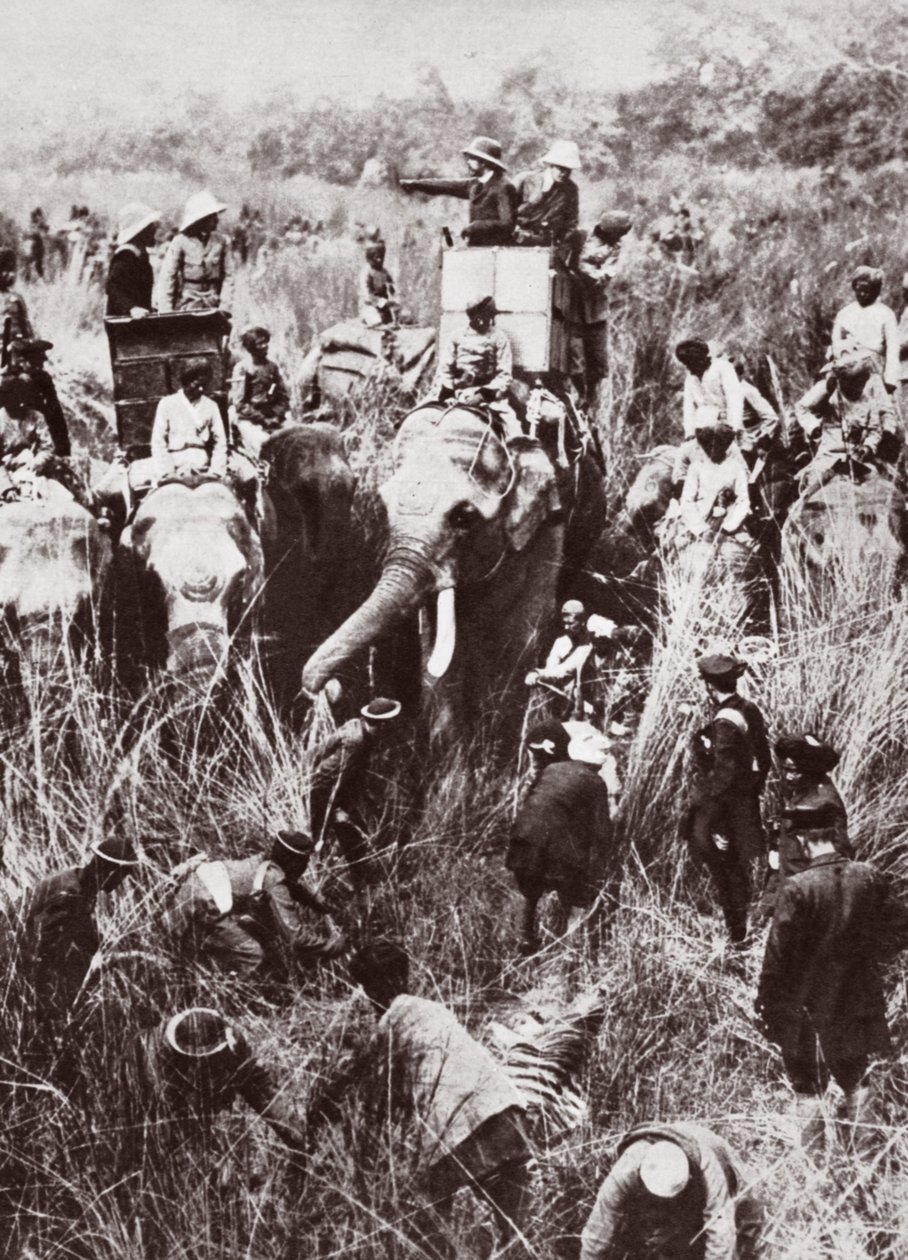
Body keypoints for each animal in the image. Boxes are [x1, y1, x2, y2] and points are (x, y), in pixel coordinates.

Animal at [300, 403, 604, 735]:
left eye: (463, 517)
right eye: (385, 506)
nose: (328, 690)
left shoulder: (545, 527)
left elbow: (521, 633)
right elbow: (438, 644)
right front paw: (449, 746)